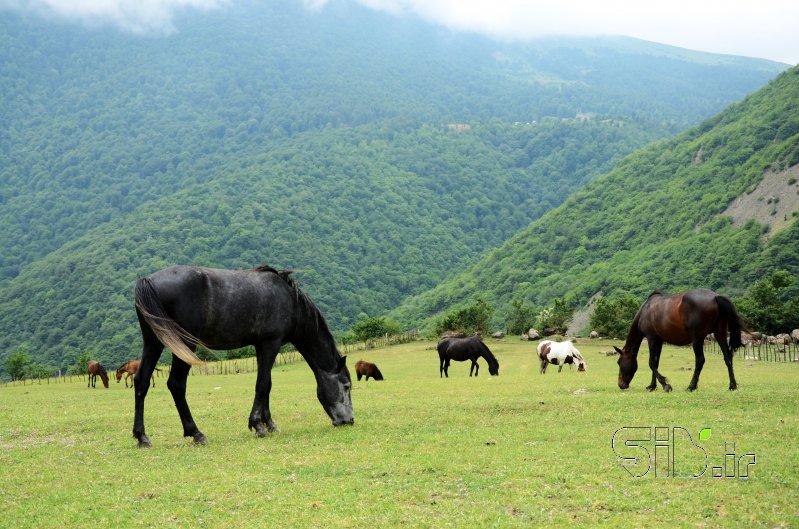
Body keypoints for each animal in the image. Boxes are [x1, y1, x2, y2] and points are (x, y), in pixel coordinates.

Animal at [616, 288, 748, 392]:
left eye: (619, 362)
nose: (621, 385)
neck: (645, 310)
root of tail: (715, 297)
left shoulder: (651, 338)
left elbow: (651, 363)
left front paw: (665, 385)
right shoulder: (659, 341)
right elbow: (656, 362)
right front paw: (652, 386)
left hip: (697, 340)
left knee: (700, 360)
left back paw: (691, 386)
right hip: (719, 334)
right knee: (728, 357)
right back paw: (732, 386)